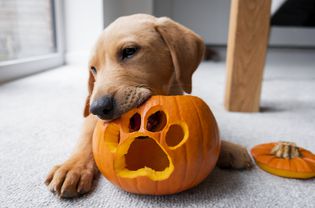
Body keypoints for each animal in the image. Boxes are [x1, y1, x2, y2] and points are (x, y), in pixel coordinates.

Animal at [44, 13, 253, 197]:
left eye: (129, 51)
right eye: (93, 69)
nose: (98, 108)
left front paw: (229, 149)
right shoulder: (92, 118)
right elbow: (87, 138)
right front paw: (74, 167)